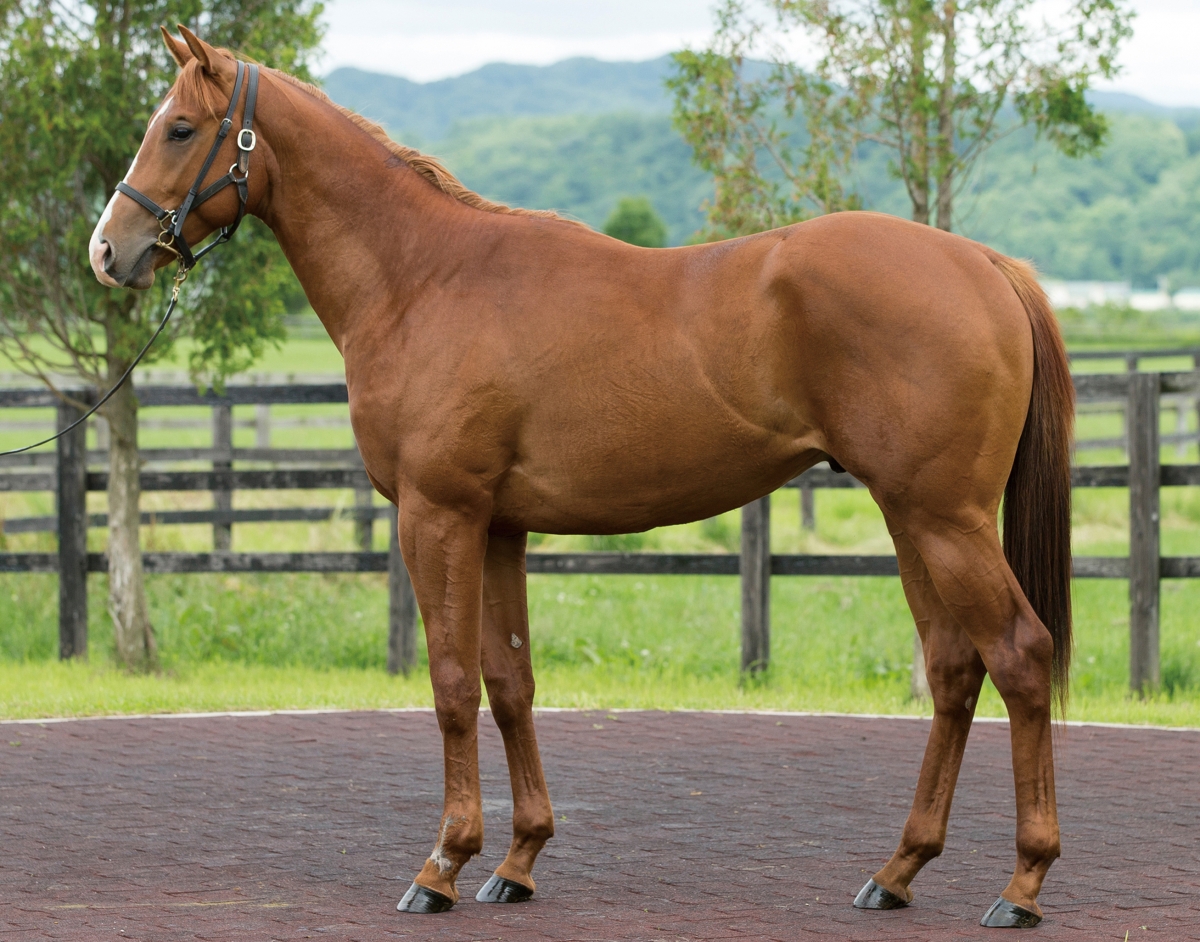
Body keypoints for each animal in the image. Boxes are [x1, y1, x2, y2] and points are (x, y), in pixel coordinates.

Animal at [88, 26, 1074, 929]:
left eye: (179, 128)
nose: (109, 250)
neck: (423, 277)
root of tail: (984, 264)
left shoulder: (437, 515)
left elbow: (452, 683)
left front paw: (442, 865)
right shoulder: (497, 526)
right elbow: (509, 681)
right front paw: (517, 860)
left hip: (944, 519)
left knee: (1020, 655)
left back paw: (1022, 884)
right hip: (912, 518)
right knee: (954, 670)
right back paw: (898, 870)